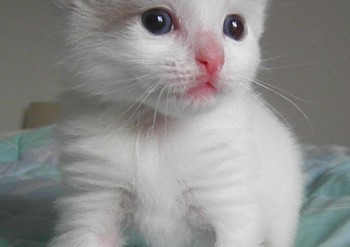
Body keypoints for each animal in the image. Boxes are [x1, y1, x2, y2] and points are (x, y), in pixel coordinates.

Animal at [50, 0, 302, 247]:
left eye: (235, 27)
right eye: (156, 21)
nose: (214, 59)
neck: (156, 131)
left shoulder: (232, 205)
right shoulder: (93, 201)